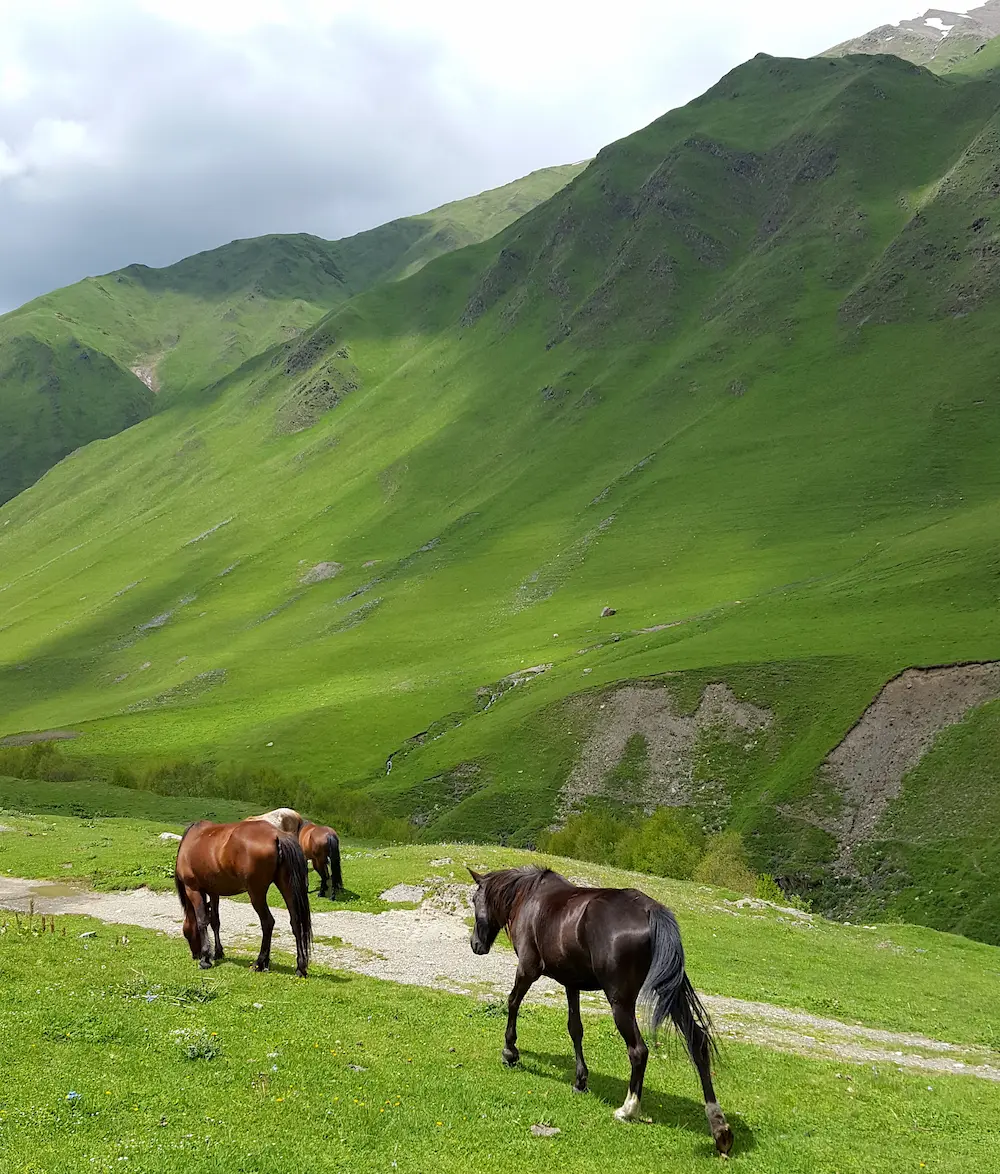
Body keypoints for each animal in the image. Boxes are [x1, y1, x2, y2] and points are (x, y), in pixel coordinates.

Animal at [174, 820, 313, 977]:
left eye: (186, 934)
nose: (195, 955)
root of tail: (278, 835)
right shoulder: (214, 892)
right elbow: (215, 921)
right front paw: (218, 952)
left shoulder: (193, 889)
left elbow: (202, 921)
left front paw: (205, 958)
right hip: (287, 887)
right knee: (295, 922)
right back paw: (299, 967)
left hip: (256, 893)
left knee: (268, 922)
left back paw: (259, 962)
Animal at [467, 866, 733, 1156]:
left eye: (474, 900)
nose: (475, 945)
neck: (529, 898)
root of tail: (650, 910)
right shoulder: (571, 983)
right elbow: (575, 1029)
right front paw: (580, 1081)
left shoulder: (527, 969)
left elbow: (512, 1002)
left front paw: (510, 1052)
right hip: (672, 995)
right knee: (698, 1042)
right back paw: (719, 1126)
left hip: (620, 1003)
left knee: (638, 1051)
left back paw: (628, 1109)